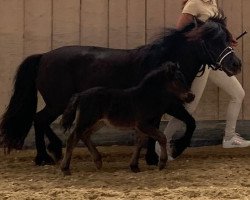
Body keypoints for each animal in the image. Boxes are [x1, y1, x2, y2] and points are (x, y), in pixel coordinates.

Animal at [59, 61, 194, 175]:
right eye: (177, 80)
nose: (191, 96)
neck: (147, 97)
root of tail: (80, 95)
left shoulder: (142, 127)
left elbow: (139, 143)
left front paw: (134, 166)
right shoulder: (144, 124)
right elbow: (162, 137)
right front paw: (161, 163)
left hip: (98, 123)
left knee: (85, 136)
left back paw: (98, 161)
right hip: (86, 121)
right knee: (72, 139)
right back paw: (65, 169)